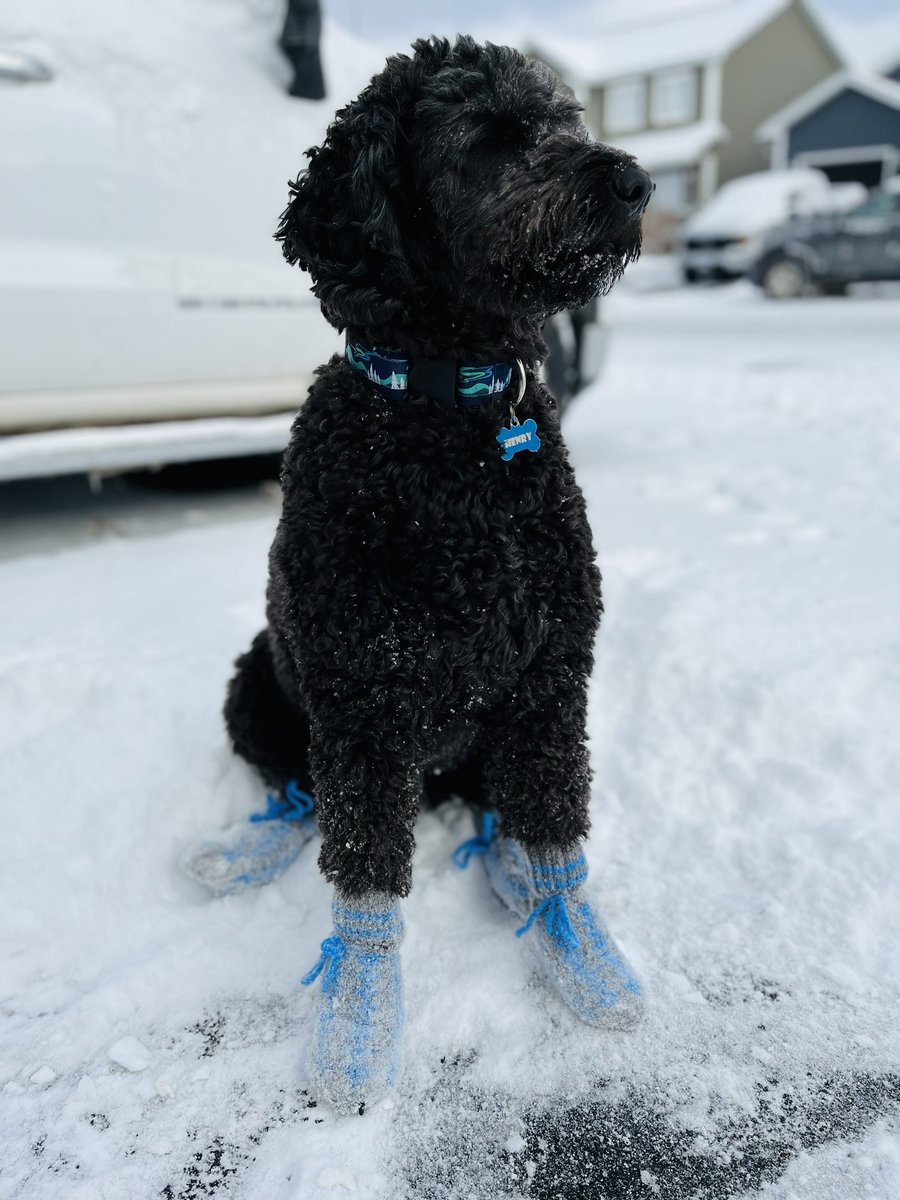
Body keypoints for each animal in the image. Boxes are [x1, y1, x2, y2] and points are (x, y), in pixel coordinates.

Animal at [223, 35, 652, 902]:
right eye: (488, 135)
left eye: (566, 120)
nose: (637, 184)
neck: (447, 409)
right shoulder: (361, 699)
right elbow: (364, 867)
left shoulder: (548, 680)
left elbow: (553, 822)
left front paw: (568, 924)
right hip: (258, 683)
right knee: (297, 792)